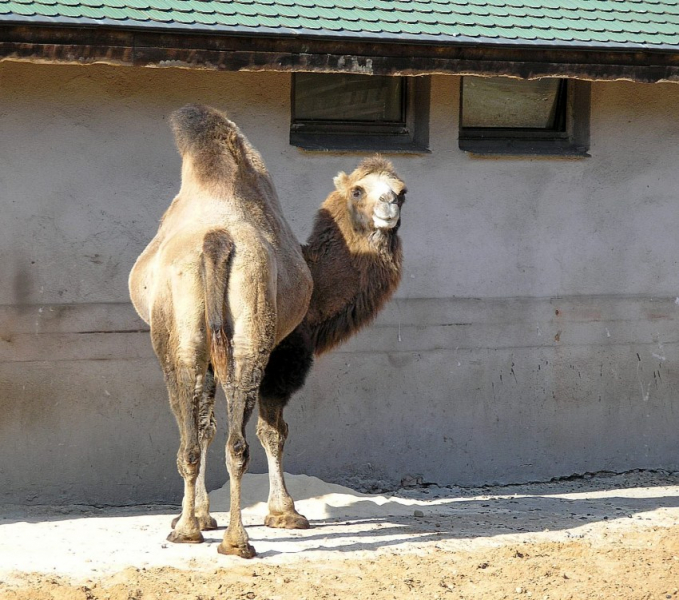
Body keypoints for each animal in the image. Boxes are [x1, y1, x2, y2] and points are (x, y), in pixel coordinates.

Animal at [129, 103, 406, 556]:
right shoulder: (289, 352)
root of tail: (216, 239)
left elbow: (206, 427)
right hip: (252, 335)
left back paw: (188, 529)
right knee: (239, 439)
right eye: (358, 191)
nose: (389, 208)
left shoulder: (210, 355)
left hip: (185, 338)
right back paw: (236, 541)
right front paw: (286, 513)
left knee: (193, 437)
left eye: (402, 191)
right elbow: (273, 431)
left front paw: (201, 515)